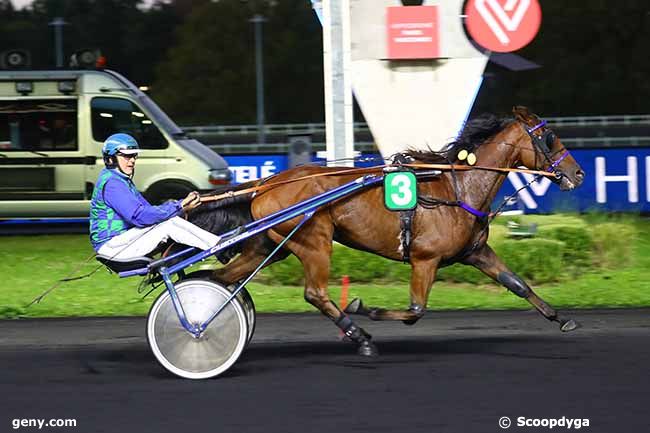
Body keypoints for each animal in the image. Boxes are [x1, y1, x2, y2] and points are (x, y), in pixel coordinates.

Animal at [190, 104, 584, 354]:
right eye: (549, 137)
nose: (578, 173)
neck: (457, 188)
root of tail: (265, 184)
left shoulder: (475, 252)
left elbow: (517, 283)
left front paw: (562, 318)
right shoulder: (425, 259)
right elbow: (415, 311)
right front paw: (366, 308)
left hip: (273, 245)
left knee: (221, 278)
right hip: (313, 240)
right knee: (315, 293)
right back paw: (359, 334)